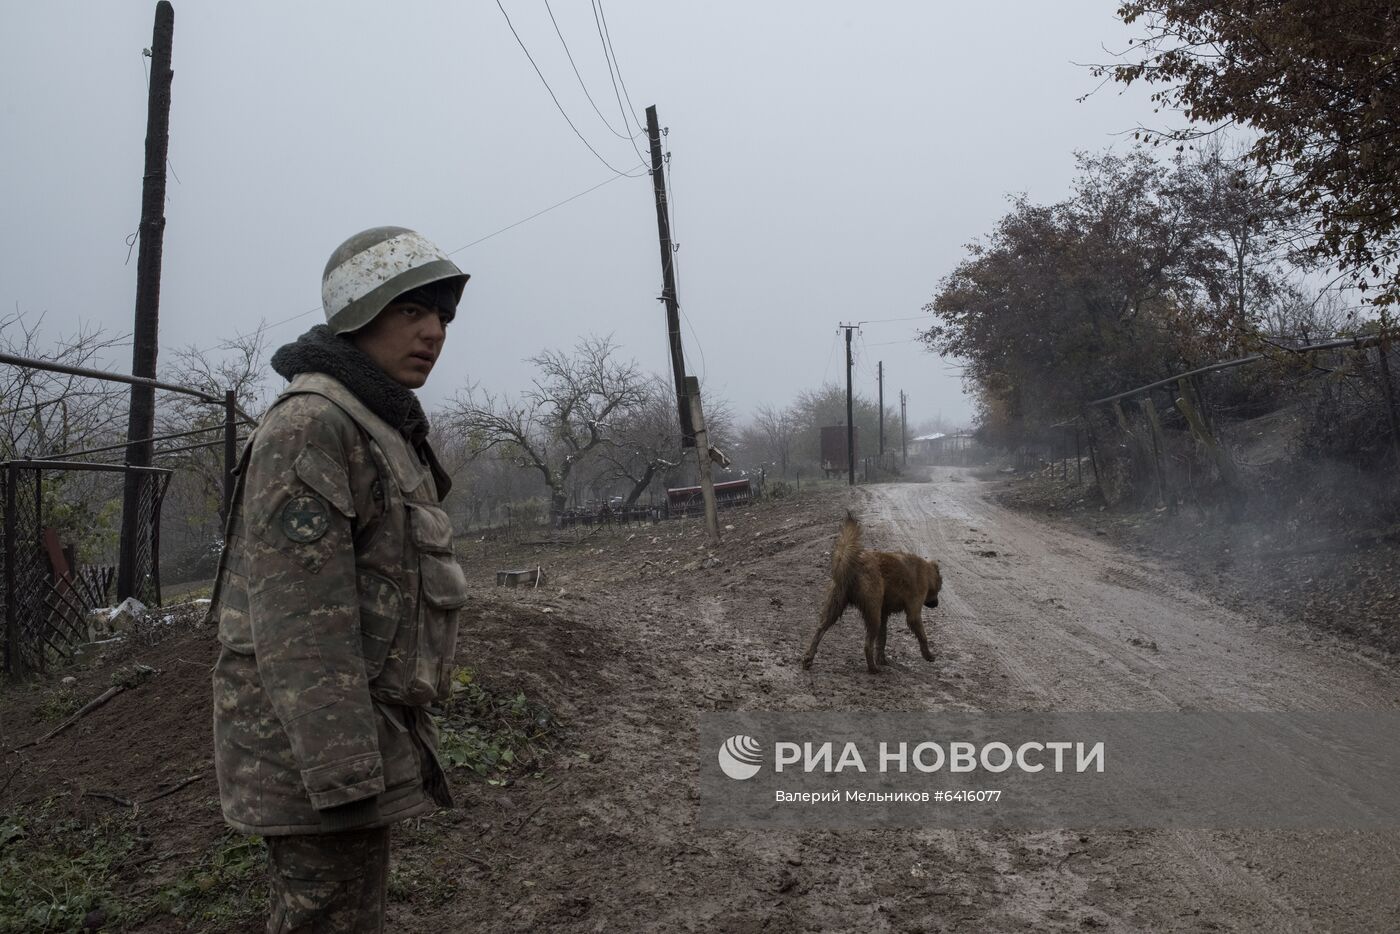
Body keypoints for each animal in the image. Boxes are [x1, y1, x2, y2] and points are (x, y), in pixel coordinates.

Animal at [800, 512, 940, 672]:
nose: (937, 603)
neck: (927, 572)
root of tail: (852, 566)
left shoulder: (884, 613)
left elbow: (882, 638)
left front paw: (882, 658)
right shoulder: (913, 609)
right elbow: (921, 633)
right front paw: (928, 655)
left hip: (836, 603)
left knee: (820, 629)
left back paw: (808, 658)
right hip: (872, 609)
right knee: (867, 644)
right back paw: (873, 668)